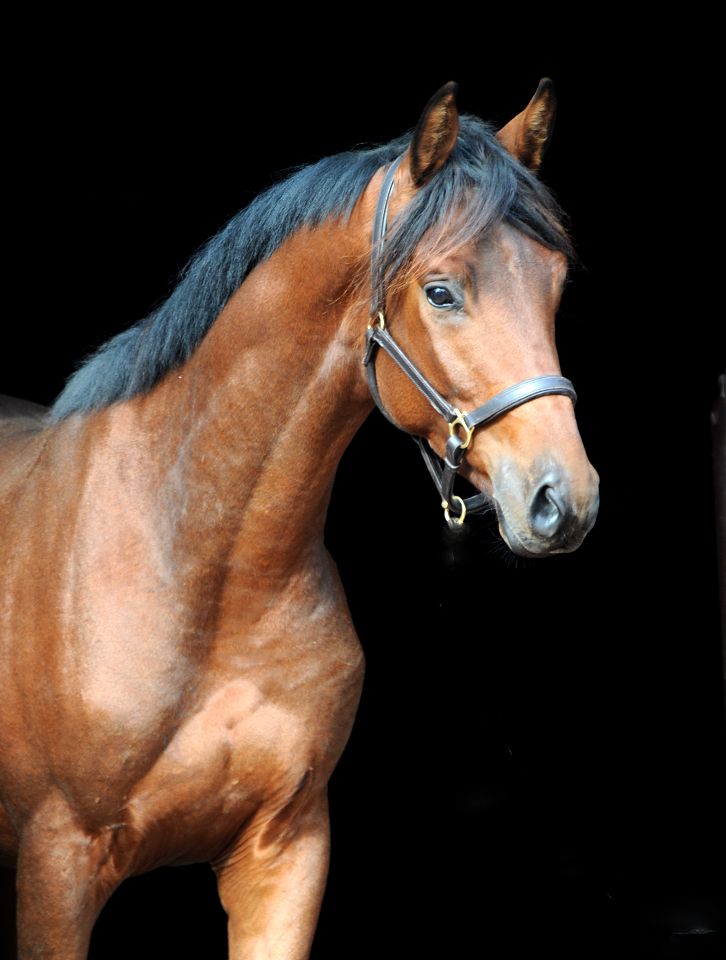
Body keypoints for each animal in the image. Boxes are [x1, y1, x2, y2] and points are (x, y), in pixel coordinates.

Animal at [0, 79, 600, 956]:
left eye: (554, 283)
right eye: (441, 291)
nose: (566, 498)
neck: (200, 566)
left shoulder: (285, 854)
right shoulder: (57, 865)